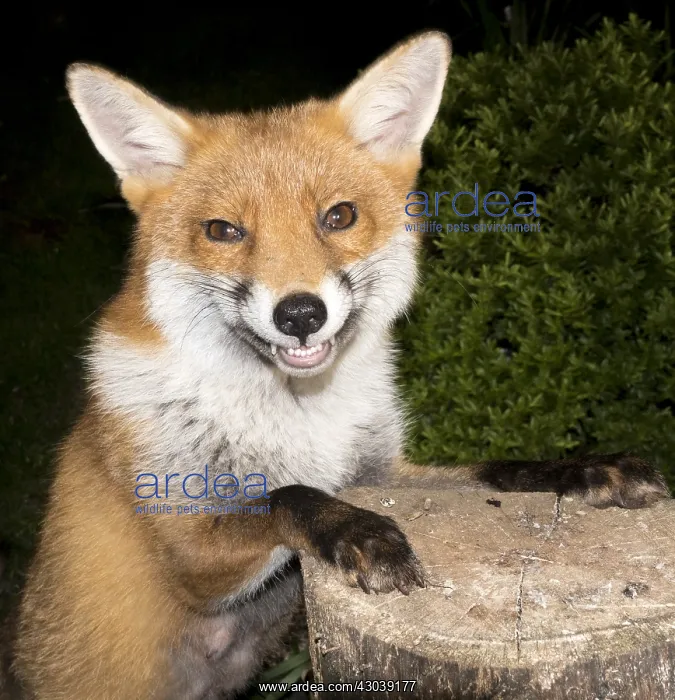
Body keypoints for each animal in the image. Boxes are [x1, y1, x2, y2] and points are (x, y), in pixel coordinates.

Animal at [12, 30, 670, 700]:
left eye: (339, 216)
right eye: (223, 230)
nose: (300, 313)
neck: (303, 414)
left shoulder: (379, 474)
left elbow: (492, 472)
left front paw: (583, 469)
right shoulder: (186, 549)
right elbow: (286, 496)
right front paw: (360, 535)